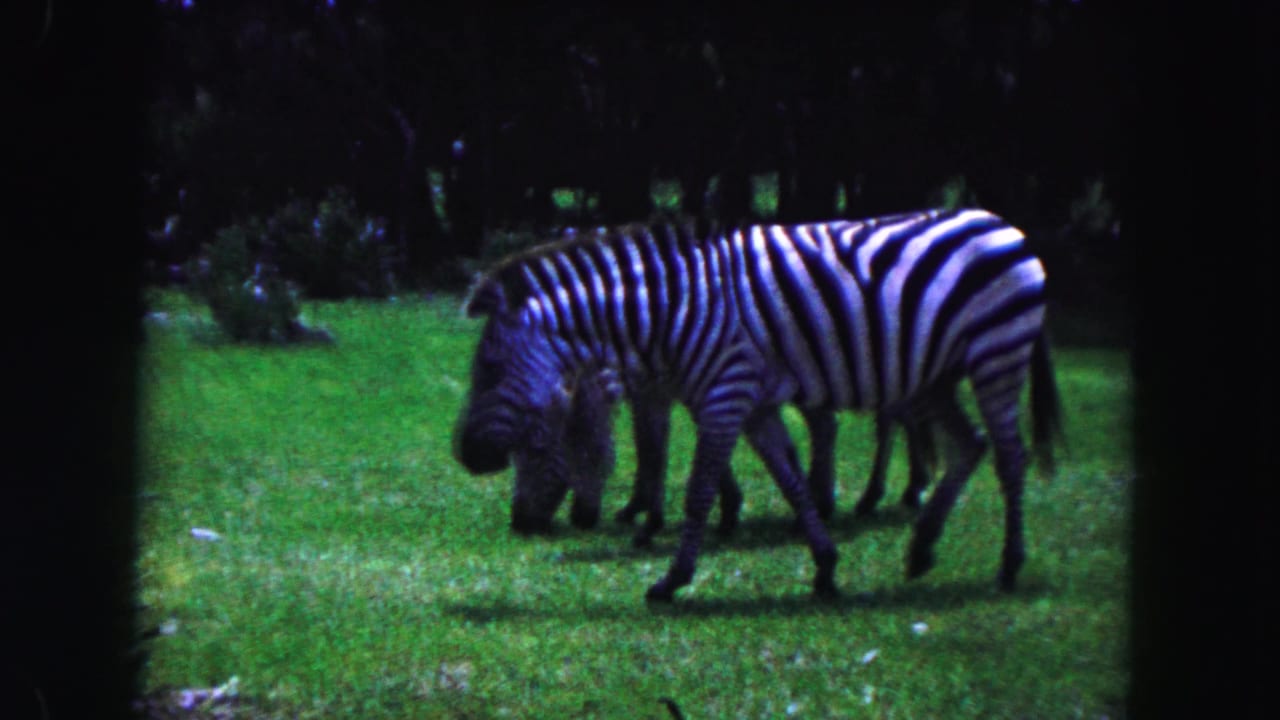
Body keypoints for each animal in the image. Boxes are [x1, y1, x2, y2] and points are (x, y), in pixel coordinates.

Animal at [455, 209, 1062, 601]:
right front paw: (823, 563)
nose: (465, 456)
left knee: (1008, 456)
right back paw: (920, 545)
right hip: (935, 377)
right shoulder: (743, 403)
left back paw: (1006, 564)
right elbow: (786, 480)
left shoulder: (722, 393)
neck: (667, 315)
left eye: (490, 368)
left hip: (996, 354)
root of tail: (1000, 222)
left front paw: (671, 572)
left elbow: (693, 481)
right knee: (970, 446)